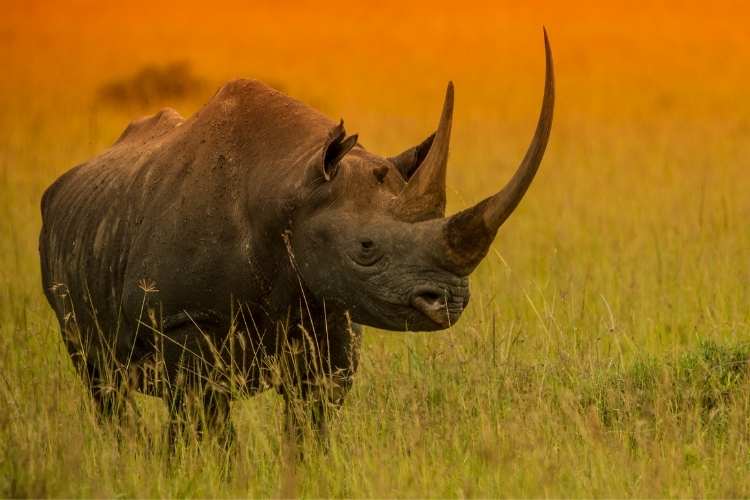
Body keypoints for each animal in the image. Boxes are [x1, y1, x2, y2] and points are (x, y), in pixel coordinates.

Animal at [39, 32, 554, 446]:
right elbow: (204, 418)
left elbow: (311, 418)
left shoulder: (332, 314)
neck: (292, 189)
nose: (449, 301)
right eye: (365, 249)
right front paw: (205, 471)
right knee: (103, 382)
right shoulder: (181, 318)